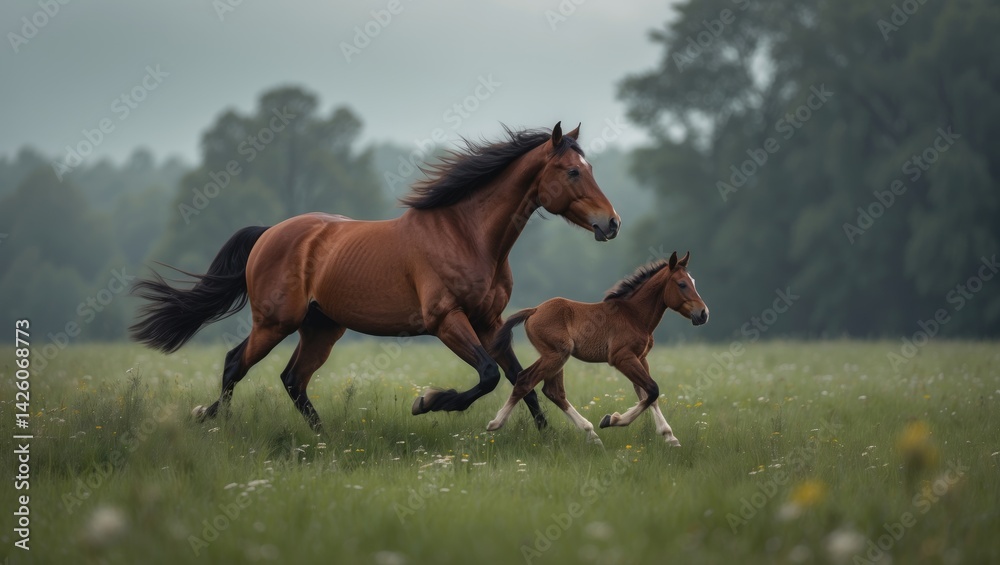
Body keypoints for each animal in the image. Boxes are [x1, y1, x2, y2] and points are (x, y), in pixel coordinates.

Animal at [130, 122, 621, 432]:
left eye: (591, 169)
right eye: (572, 171)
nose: (611, 223)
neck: (468, 235)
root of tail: (268, 234)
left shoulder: (490, 322)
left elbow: (520, 378)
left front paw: (544, 437)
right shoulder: (446, 321)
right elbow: (487, 376)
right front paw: (428, 403)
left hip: (321, 328)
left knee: (292, 379)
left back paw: (321, 438)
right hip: (274, 323)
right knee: (237, 364)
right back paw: (217, 422)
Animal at [486, 251, 708, 447]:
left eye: (694, 282)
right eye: (682, 284)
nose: (703, 313)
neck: (634, 315)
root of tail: (534, 310)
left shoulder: (641, 358)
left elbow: (648, 395)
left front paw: (670, 437)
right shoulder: (623, 358)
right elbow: (652, 390)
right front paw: (612, 420)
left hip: (555, 357)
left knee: (553, 391)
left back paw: (591, 434)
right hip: (556, 355)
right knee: (526, 380)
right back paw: (495, 423)